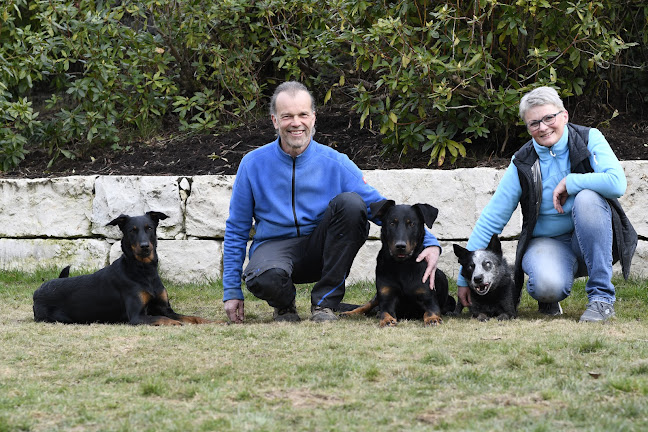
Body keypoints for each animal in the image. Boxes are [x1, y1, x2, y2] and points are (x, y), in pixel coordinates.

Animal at [33, 211, 213, 326]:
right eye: (132, 231)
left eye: (149, 228)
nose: (145, 246)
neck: (144, 271)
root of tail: (38, 290)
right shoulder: (137, 316)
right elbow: (165, 319)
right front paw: (177, 324)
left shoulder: (166, 309)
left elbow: (193, 317)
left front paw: (214, 321)